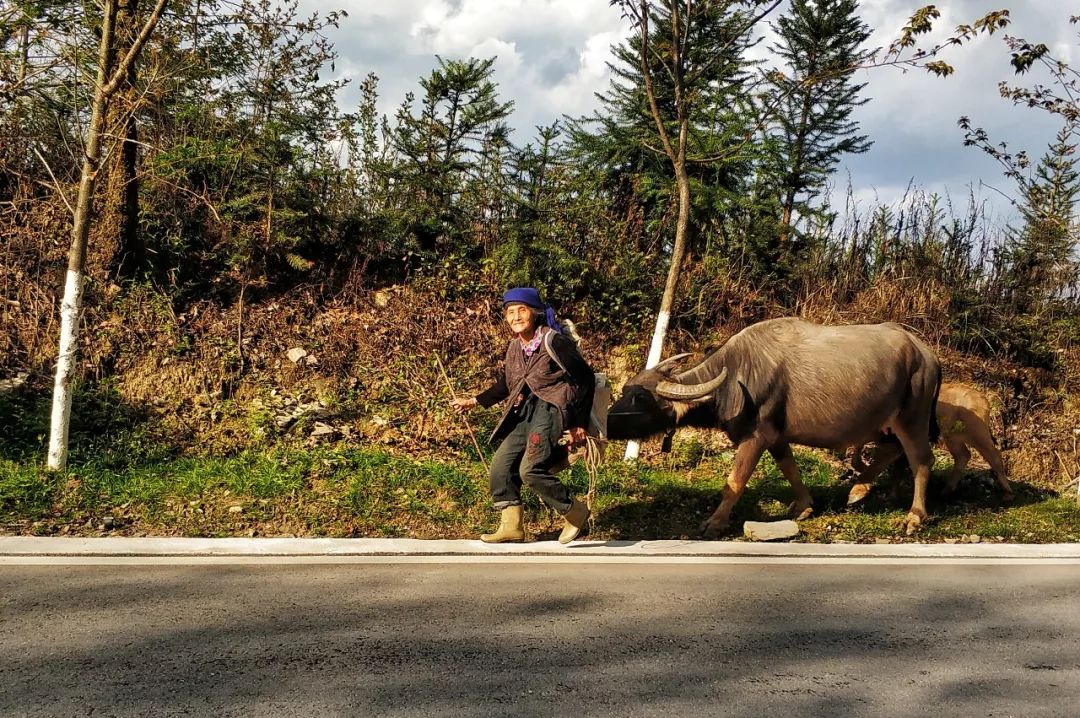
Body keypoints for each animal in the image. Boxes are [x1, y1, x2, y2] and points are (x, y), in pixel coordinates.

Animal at [609, 317, 937, 531]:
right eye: (625, 390)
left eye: (641, 398)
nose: (609, 422)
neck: (735, 377)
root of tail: (926, 354)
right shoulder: (777, 437)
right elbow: (789, 468)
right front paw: (804, 505)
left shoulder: (755, 437)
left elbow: (735, 482)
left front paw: (715, 522)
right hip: (890, 423)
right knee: (892, 450)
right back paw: (858, 490)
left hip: (912, 417)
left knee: (921, 460)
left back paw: (914, 516)